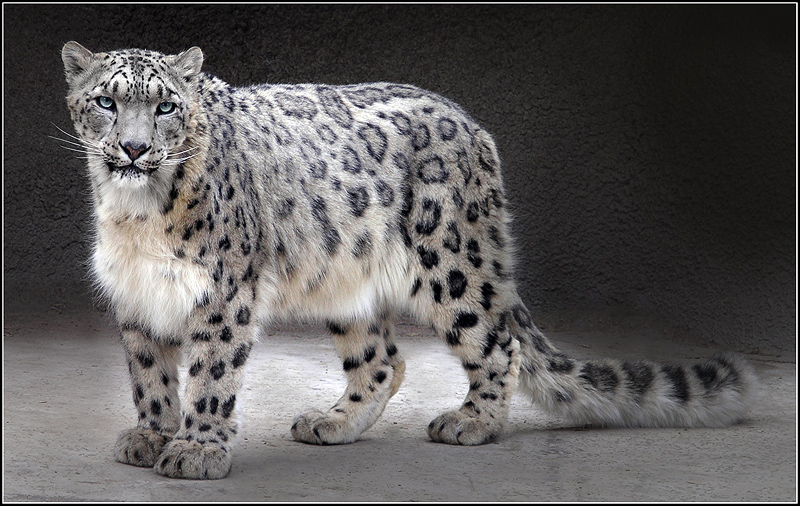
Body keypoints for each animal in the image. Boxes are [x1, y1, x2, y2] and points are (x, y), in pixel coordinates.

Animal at [60, 41, 757, 480]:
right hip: (346, 280)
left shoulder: (223, 292)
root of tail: (473, 126)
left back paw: (470, 423)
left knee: (496, 341)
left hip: (453, 262)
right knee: (382, 360)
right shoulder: (138, 295)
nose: (133, 147)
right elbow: (150, 374)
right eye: (106, 101)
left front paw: (196, 450)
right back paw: (331, 422)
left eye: (165, 105)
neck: (135, 215)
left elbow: (209, 375)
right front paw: (151, 436)